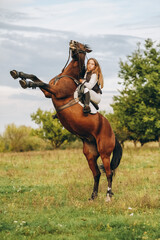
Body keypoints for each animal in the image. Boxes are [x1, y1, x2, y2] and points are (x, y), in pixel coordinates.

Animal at [10, 40, 122, 202]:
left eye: (82, 46)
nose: (72, 42)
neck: (67, 75)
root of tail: (113, 134)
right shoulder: (48, 93)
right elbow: (36, 77)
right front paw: (19, 74)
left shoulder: (56, 92)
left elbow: (40, 83)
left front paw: (26, 83)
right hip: (90, 154)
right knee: (96, 174)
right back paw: (93, 197)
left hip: (104, 153)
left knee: (109, 173)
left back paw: (108, 197)